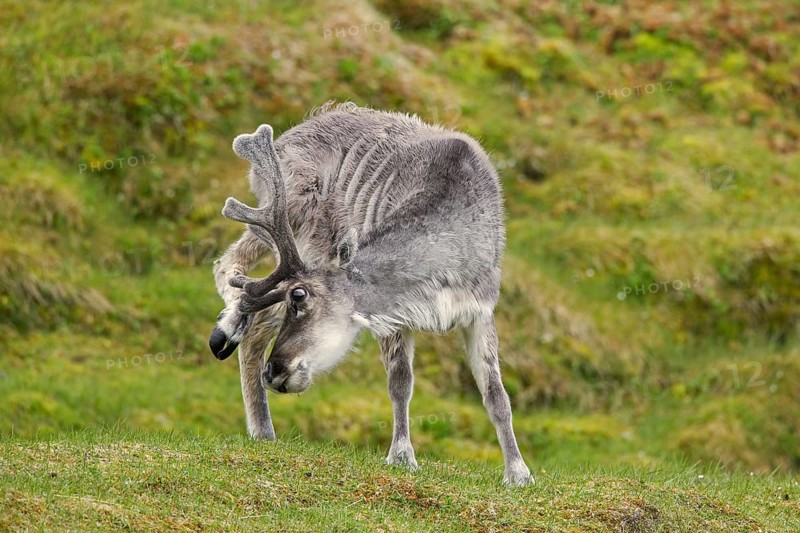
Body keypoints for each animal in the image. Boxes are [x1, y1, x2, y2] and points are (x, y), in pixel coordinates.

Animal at [209, 103, 533, 486]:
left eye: (299, 298)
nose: (273, 372)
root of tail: (291, 134)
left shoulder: (480, 311)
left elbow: (496, 395)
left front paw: (518, 472)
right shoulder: (392, 314)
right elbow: (400, 383)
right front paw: (402, 455)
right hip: (296, 225)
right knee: (234, 276)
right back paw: (257, 415)